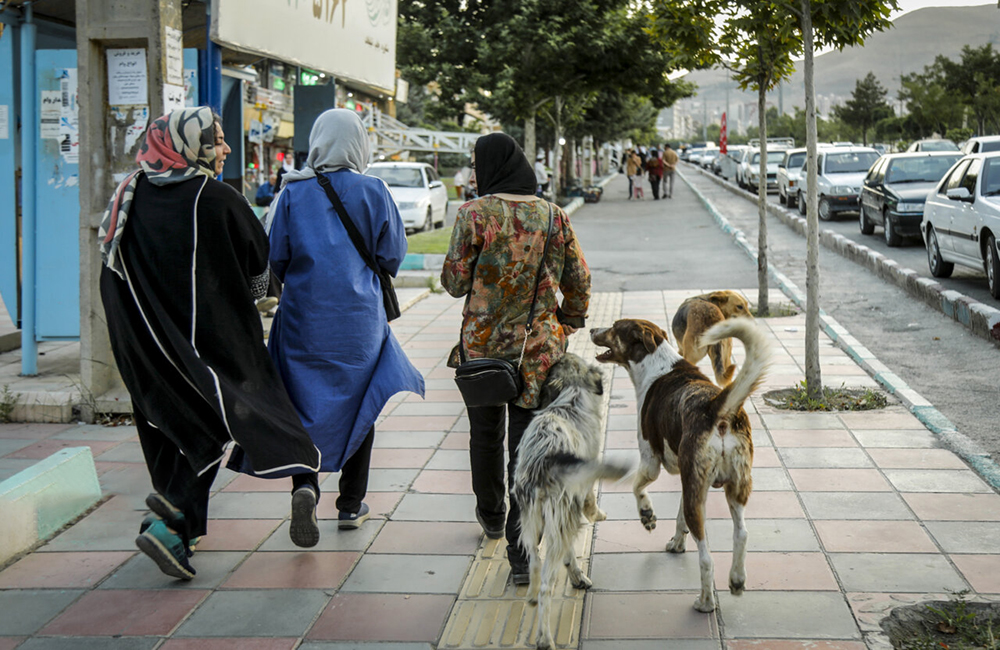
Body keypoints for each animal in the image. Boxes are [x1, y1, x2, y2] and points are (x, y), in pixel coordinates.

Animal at [588, 316, 768, 612]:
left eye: (615, 326)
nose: (591, 328)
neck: (654, 362)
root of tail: (716, 407)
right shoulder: (688, 478)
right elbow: (679, 514)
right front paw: (677, 542)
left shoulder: (651, 461)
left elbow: (637, 487)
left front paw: (647, 516)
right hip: (732, 485)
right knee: (741, 533)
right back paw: (737, 579)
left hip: (700, 491)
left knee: (706, 558)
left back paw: (706, 601)